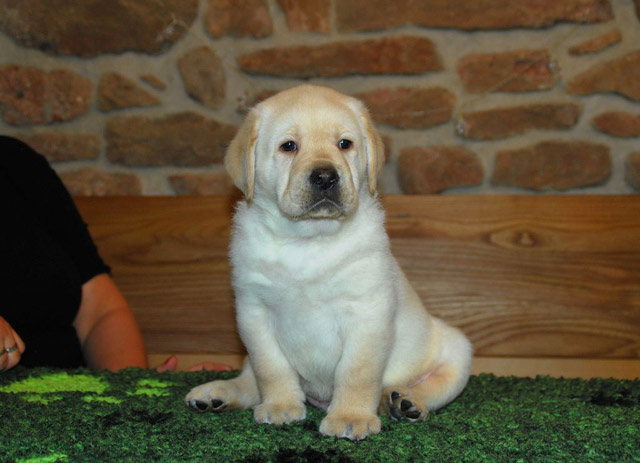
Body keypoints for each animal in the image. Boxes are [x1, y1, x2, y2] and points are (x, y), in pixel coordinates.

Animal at [185, 85, 472, 441]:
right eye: (289, 146)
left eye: (344, 144)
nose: (325, 176)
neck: (309, 240)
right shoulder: (253, 312)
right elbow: (270, 367)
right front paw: (280, 405)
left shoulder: (367, 312)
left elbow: (357, 371)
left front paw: (351, 416)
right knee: (249, 381)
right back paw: (215, 395)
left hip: (458, 350)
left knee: (436, 385)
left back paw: (405, 401)